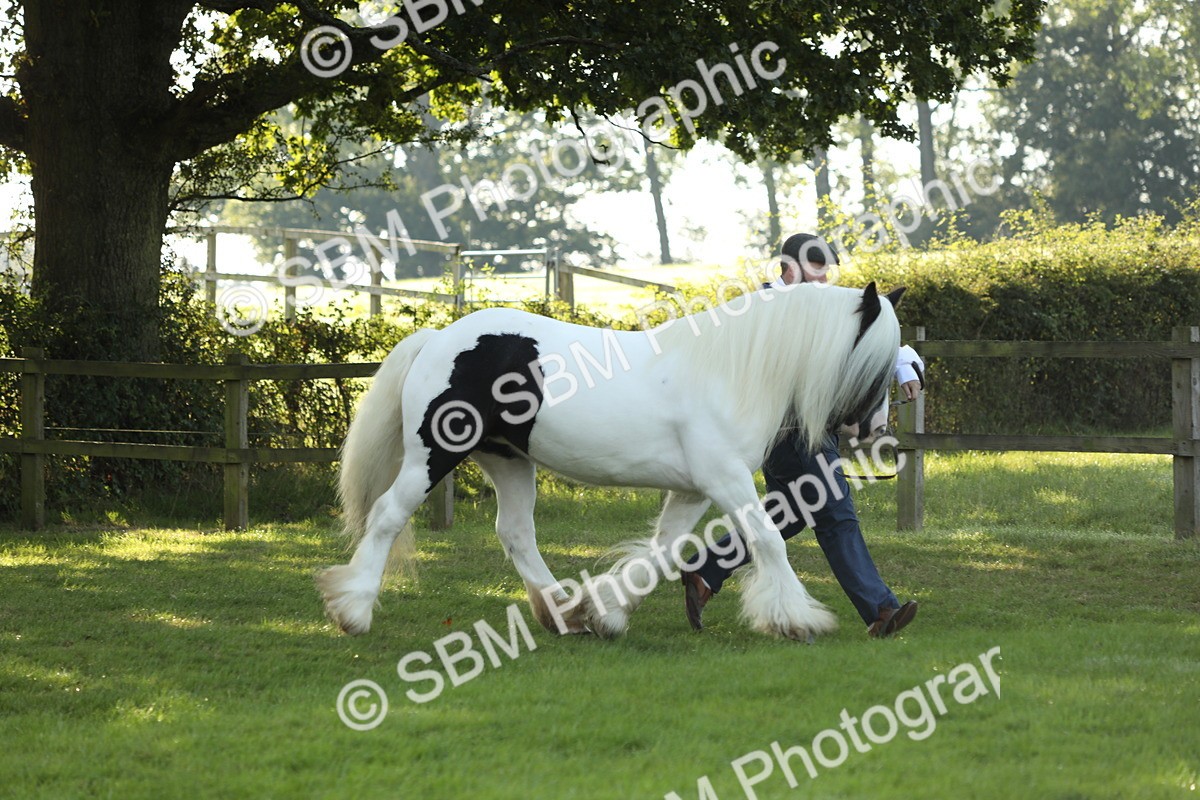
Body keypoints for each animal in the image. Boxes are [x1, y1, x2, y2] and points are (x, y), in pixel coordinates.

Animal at [316, 280, 904, 641]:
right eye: (874, 361)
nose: (875, 430)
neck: (731, 371)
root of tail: (439, 337)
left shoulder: (693, 490)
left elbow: (663, 553)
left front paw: (608, 613)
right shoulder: (727, 480)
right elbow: (767, 540)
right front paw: (797, 619)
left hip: (509, 462)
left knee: (516, 534)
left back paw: (563, 613)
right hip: (432, 456)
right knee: (388, 516)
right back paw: (354, 611)